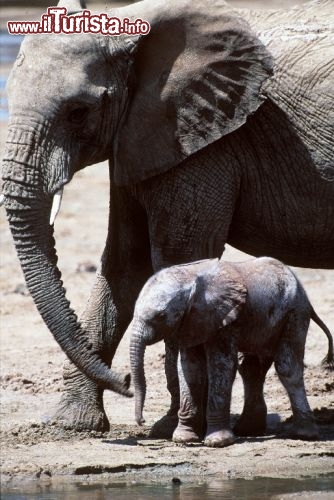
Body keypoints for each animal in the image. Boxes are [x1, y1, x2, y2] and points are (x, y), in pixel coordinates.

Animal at [127, 258, 332, 446]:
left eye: (161, 316)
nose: (141, 421)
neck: (190, 277)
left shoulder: (224, 318)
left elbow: (220, 366)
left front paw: (217, 442)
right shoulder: (191, 321)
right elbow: (190, 370)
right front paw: (184, 438)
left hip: (295, 314)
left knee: (286, 367)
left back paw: (303, 435)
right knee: (251, 368)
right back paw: (248, 430)